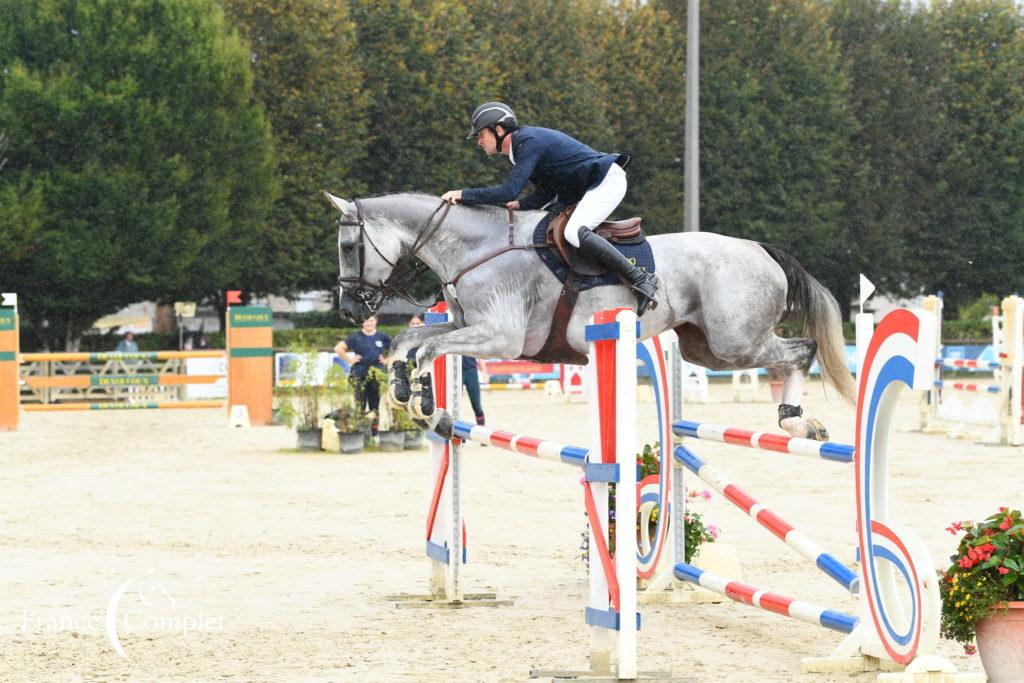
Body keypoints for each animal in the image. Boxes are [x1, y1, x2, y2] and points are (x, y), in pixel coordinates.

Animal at [323, 192, 851, 438]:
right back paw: (797, 422)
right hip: (708, 349)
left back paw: (796, 423)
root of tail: (758, 249)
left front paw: (421, 403)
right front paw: (404, 392)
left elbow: (428, 348)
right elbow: (405, 343)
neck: (476, 248)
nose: (349, 310)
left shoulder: (500, 337)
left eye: (349, 247)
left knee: (801, 350)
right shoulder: (470, 326)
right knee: (788, 354)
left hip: (736, 341)